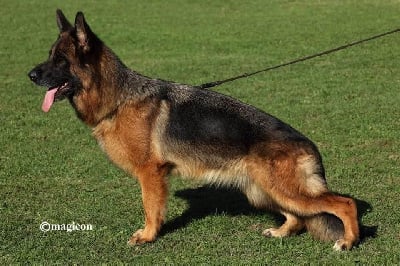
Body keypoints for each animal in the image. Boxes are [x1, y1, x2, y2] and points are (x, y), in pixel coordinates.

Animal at [28, 9, 360, 249]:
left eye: (61, 60)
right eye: (49, 55)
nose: (30, 75)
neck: (119, 99)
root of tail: (309, 145)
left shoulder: (151, 174)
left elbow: (150, 207)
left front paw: (147, 236)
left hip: (282, 189)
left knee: (344, 203)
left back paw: (348, 241)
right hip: (264, 189)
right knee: (299, 217)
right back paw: (281, 232)